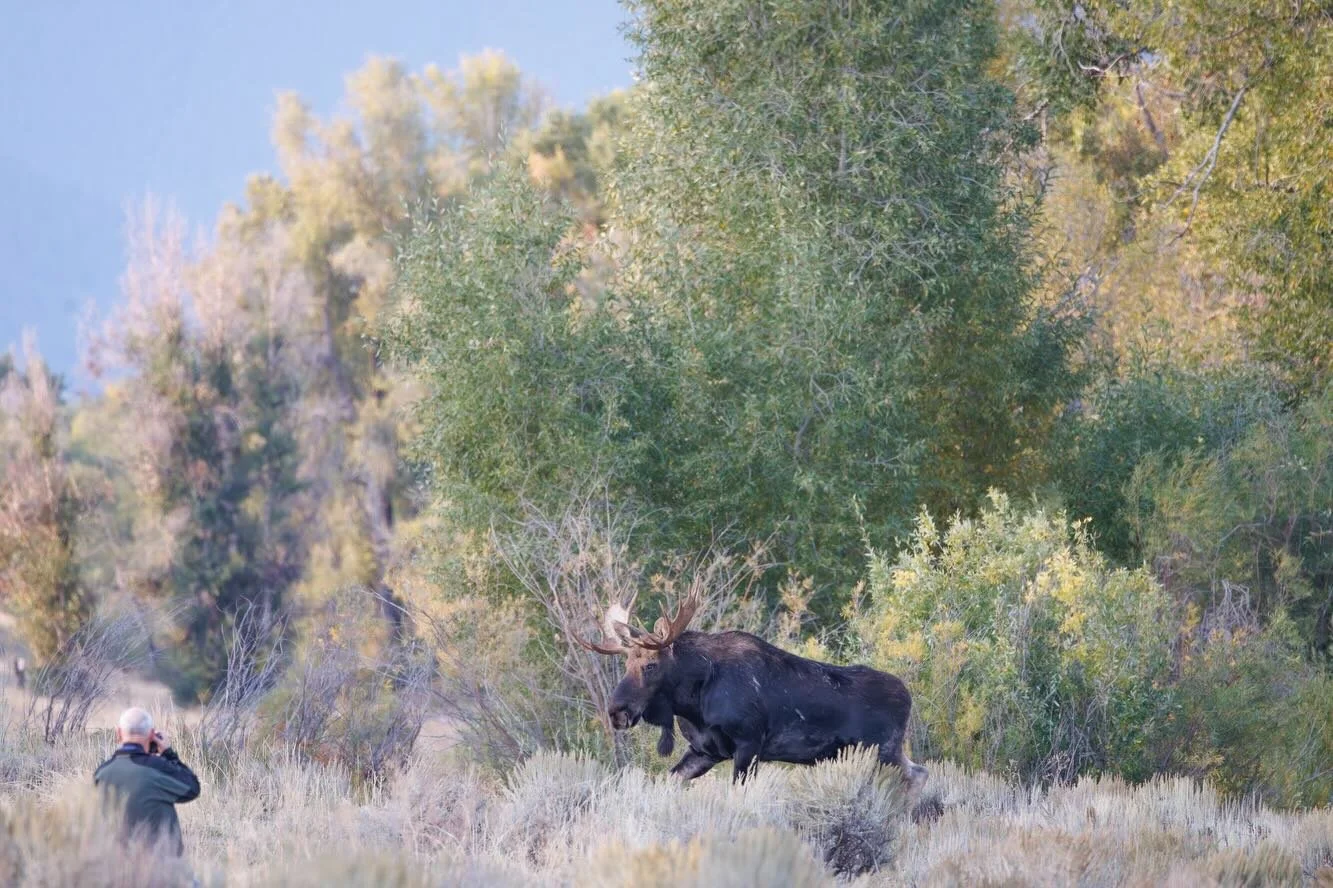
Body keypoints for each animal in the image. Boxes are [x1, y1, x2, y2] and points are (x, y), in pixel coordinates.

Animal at [575, 585, 927, 789]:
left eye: (650, 665)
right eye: (626, 664)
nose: (616, 711)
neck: (693, 704)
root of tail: (908, 697)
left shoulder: (749, 743)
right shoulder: (704, 750)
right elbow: (668, 781)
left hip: (884, 751)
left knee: (916, 777)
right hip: (886, 753)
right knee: (920, 772)